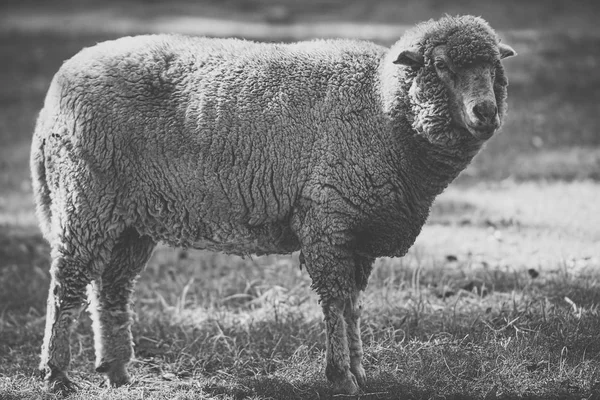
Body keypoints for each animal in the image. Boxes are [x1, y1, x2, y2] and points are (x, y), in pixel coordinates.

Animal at [29, 14, 516, 396]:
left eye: (494, 67)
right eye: (442, 66)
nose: (485, 112)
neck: (381, 110)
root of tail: (58, 84)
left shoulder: (357, 231)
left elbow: (353, 304)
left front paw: (361, 371)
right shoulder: (328, 222)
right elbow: (335, 301)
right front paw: (340, 376)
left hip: (132, 218)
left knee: (110, 287)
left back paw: (115, 370)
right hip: (85, 198)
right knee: (66, 285)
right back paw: (57, 375)